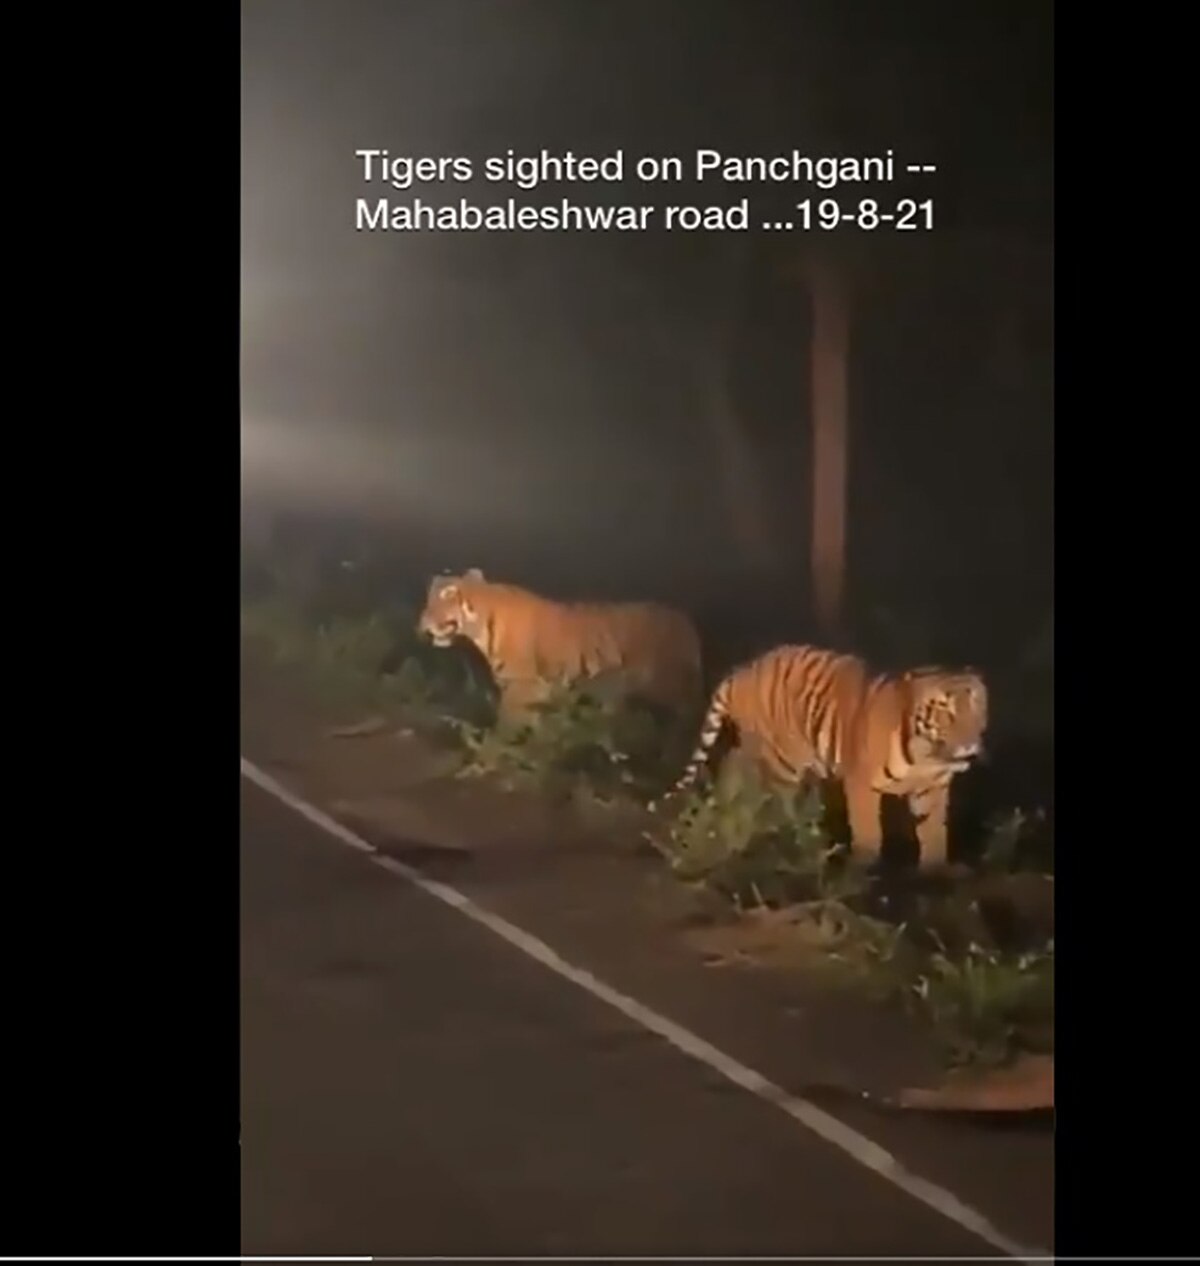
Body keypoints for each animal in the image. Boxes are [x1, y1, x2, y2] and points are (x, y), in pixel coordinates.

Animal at [654, 643, 988, 870]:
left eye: (976, 707)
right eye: (945, 711)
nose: (969, 745)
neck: (928, 756)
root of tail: (743, 670)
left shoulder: (933, 788)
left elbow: (934, 833)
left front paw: (935, 873)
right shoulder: (861, 783)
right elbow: (868, 831)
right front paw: (863, 870)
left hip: (755, 748)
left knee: (733, 768)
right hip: (782, 760)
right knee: (776, 798)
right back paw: (791, 840)